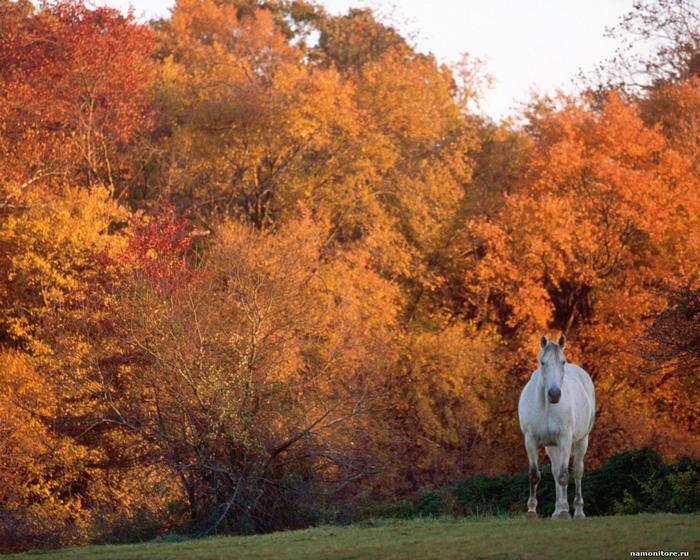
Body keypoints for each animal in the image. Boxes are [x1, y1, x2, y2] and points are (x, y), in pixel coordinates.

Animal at [516, 332, 592, 520]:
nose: (555, 394)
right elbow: (535, 475)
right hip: (552, 446)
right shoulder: (530, 440)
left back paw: (577, 511)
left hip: (582, 441)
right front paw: (531, 512)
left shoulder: (565, 439)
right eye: (542, 362)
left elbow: (564, 475)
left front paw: (565, 511)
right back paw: (557, 510)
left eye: (562, 362)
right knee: (556, 471)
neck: (546, 406)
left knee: (577, 471)